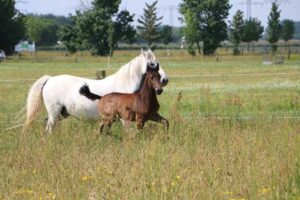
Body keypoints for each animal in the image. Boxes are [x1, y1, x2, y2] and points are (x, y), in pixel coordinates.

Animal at [24, 49, 168, 132]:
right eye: (152, 64)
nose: (165, 80)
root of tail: (49, 79)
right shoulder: (125, 118)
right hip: (54, 113)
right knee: (49, 127)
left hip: (61, 113)